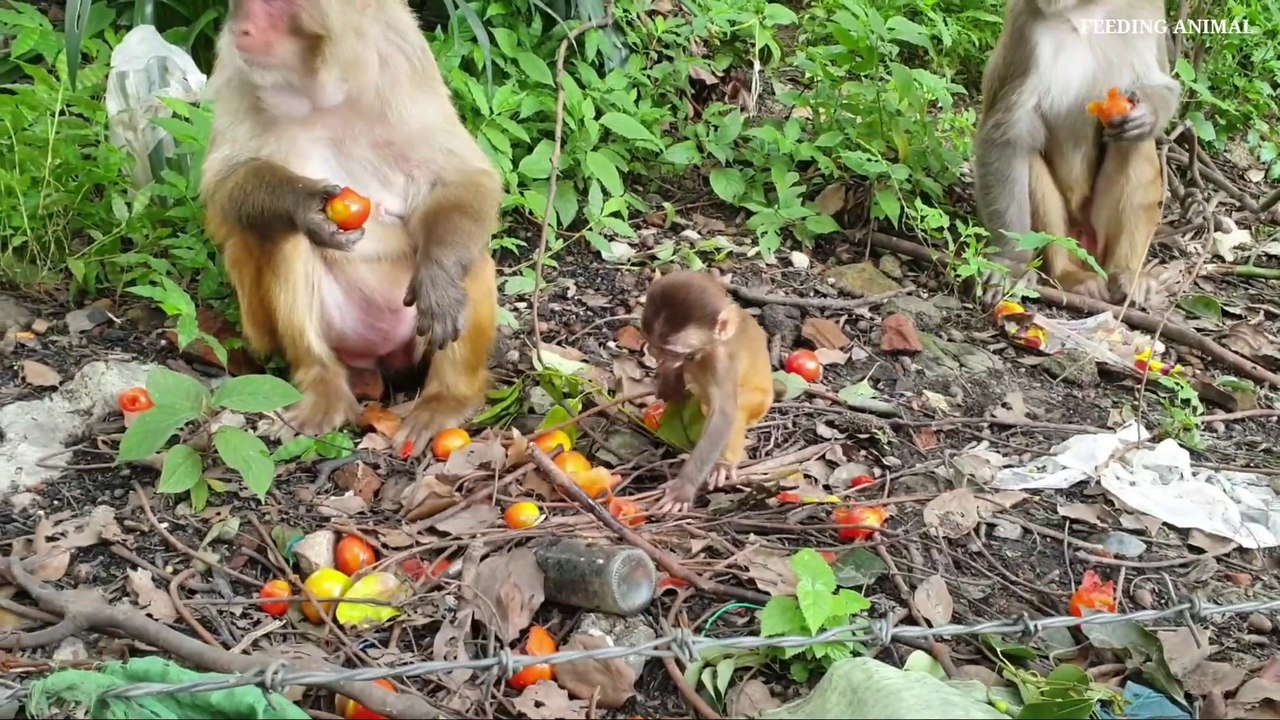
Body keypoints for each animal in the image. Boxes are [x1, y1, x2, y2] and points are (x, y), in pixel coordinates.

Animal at [198, 0, 503, 456]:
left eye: (275, 5)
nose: (243, 29)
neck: (318, 90)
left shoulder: (401, 57)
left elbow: (460, 178)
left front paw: (438, 277)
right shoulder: (235, 67)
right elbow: (223, 183)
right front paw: (304, 205)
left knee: (471, 257)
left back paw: (448, 398)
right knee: (286, 240)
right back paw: (323, 385)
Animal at [640, 271, 774, 514]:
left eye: (670, 350)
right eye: (650, 341)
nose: (654, 354)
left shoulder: (722, 362)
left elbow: (725, 413)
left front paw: (683, 489)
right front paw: (668, 384)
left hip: (759, 404)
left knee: (739, 408)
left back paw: (723, 465)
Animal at [973, 0, 1181, 309]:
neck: (1085, 9)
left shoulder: (1147, 13)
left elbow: (1163, 84)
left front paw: (1148, 114)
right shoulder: (1026, 27)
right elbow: (1007, 136)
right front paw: (1010, 264)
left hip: (1099, 243)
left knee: (1133, 145)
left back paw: (1126, 274)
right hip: (1070, 240)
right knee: (1028, 158)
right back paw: (1070, 275)